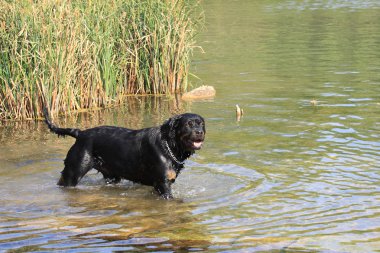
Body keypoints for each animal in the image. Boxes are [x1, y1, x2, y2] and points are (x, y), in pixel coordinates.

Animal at [43, 109, 206, 199]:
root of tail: (80, 133)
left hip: (111, 176)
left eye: (201, 124)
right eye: (189, 124)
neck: (170, 146)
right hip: (73, 172)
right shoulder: (163, 183)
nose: (200, 132)